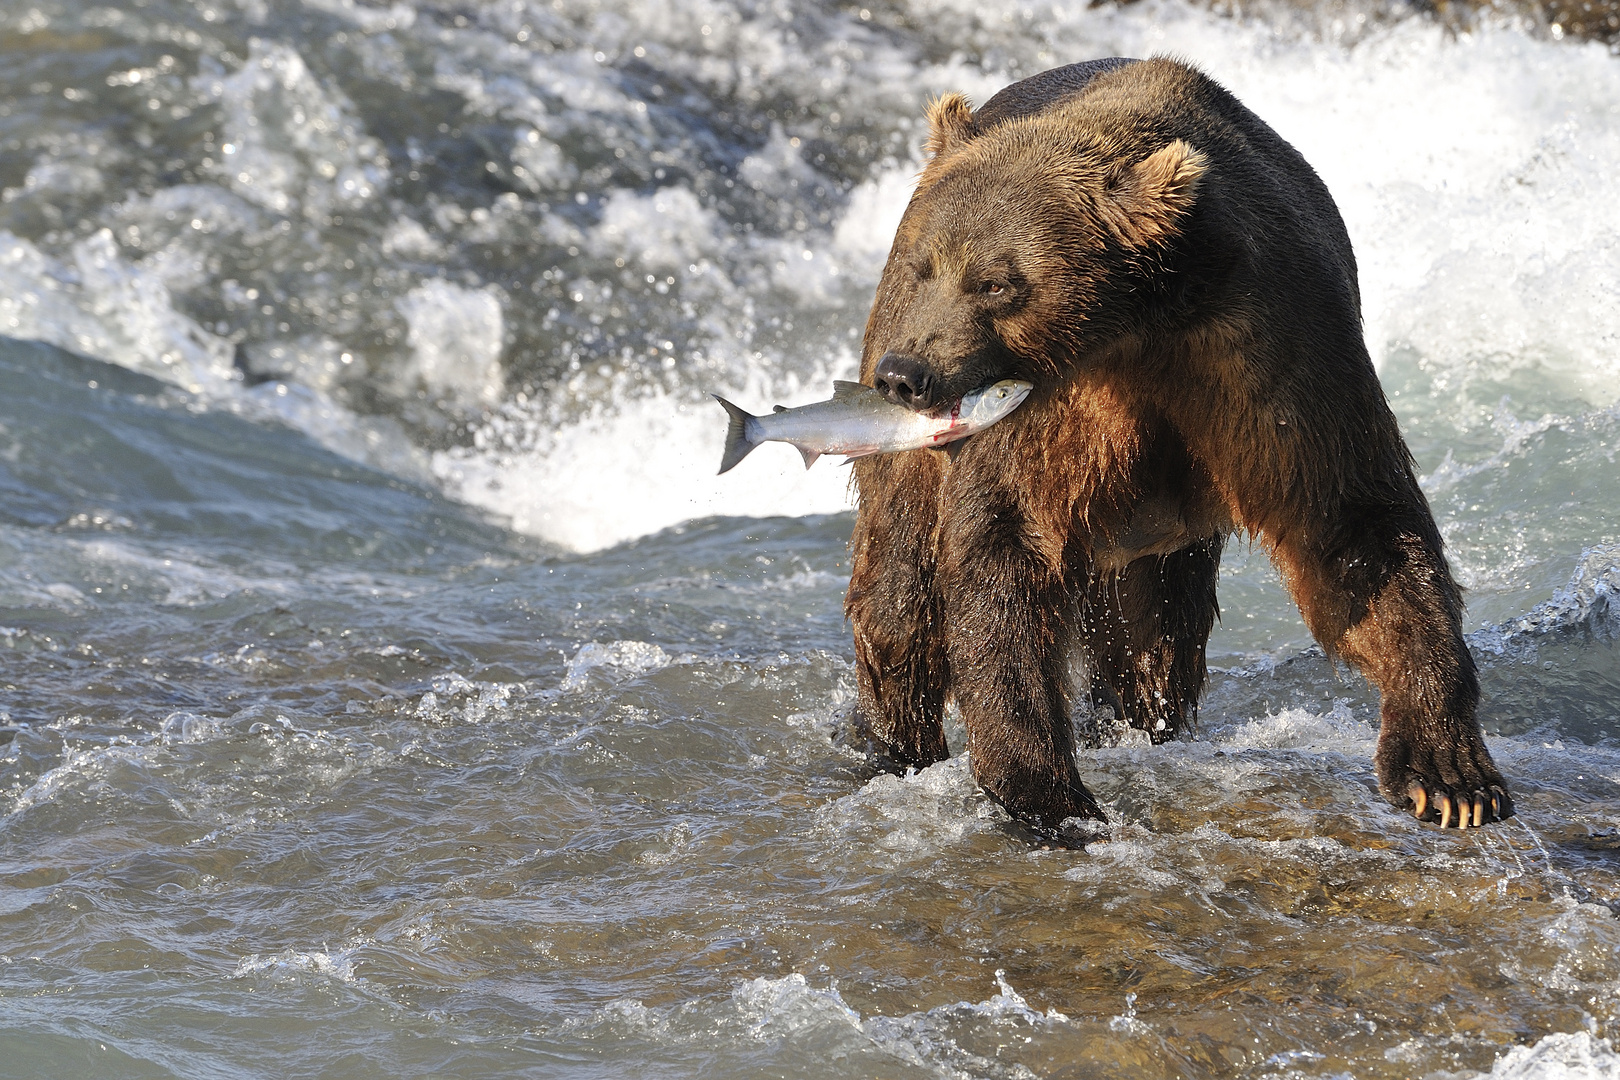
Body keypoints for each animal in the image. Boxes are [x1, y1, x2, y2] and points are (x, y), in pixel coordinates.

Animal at [842, 55, 1509, 841]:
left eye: (997, 281)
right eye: (925, 265)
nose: (905, 374)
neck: (1132, 322)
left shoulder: (1266, 350)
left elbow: (1350, 525)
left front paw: (1449, 775)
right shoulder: (1042, 409)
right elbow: (1005, 545)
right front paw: (1047, 792)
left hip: (1153, 536)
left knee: (1153, 636)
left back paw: (1141, 722)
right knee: (901, 594)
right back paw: (893, 743)